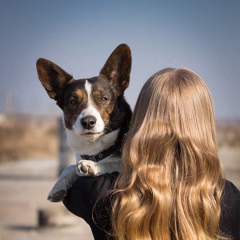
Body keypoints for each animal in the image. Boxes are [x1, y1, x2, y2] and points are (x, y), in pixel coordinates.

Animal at [36, 44, 132, 202]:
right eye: (73, 101)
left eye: (104, 98)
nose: (88, 122)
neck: (95, 149)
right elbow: (69, 167)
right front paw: (58, 187)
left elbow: (113, 164)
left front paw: (91, 166)